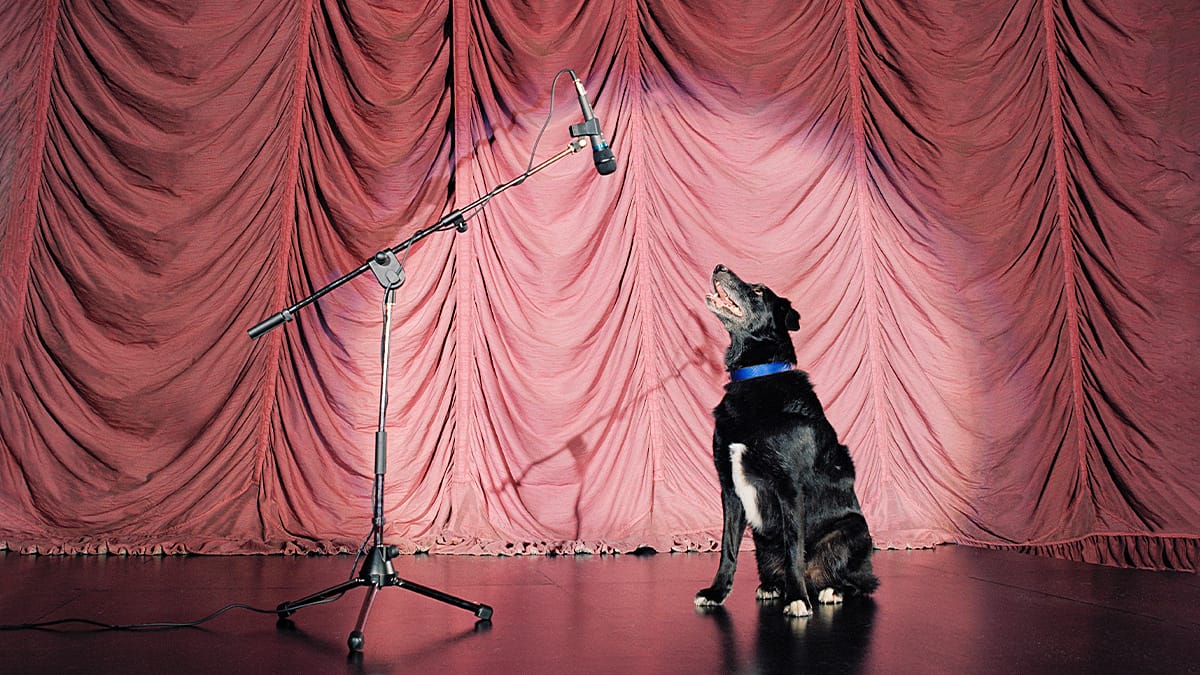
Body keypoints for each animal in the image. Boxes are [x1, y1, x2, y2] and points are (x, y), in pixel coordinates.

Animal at [696, 264, 873, 614]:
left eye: (759, 291)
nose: (719, 267)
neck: (757, 375)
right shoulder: (729, 488)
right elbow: (727, 548)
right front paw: (717, 592)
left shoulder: (789, 486)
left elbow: (794, 548)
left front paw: (797, 599)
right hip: (762, 542)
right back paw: (773, 586)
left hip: (853, 531)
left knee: (860, 583)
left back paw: (830, 590)